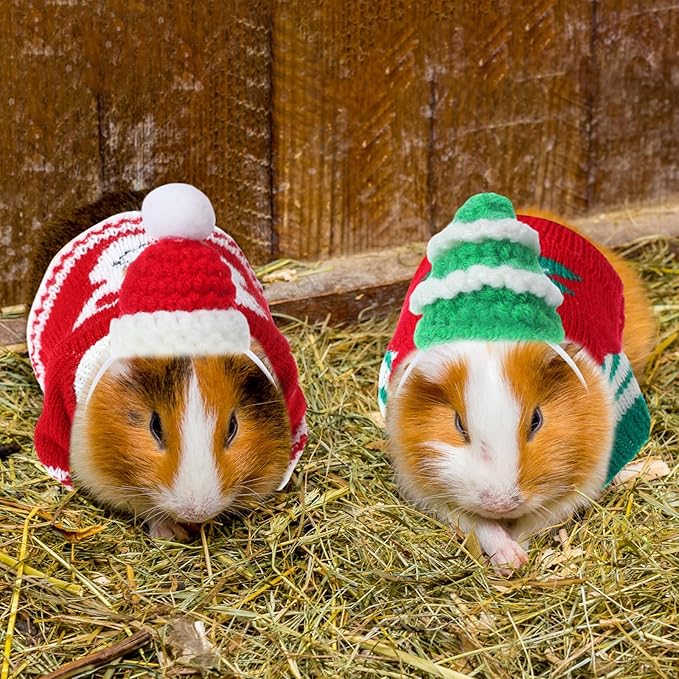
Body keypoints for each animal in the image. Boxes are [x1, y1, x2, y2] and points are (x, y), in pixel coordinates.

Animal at [380, 195, 654, 575]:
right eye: (459, 425)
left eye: (536, 420)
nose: (500, 503)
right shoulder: (431, 490)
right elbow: (481, 526)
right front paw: (509, 559)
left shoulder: (581, 482)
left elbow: (535, 522)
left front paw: (518, 557)